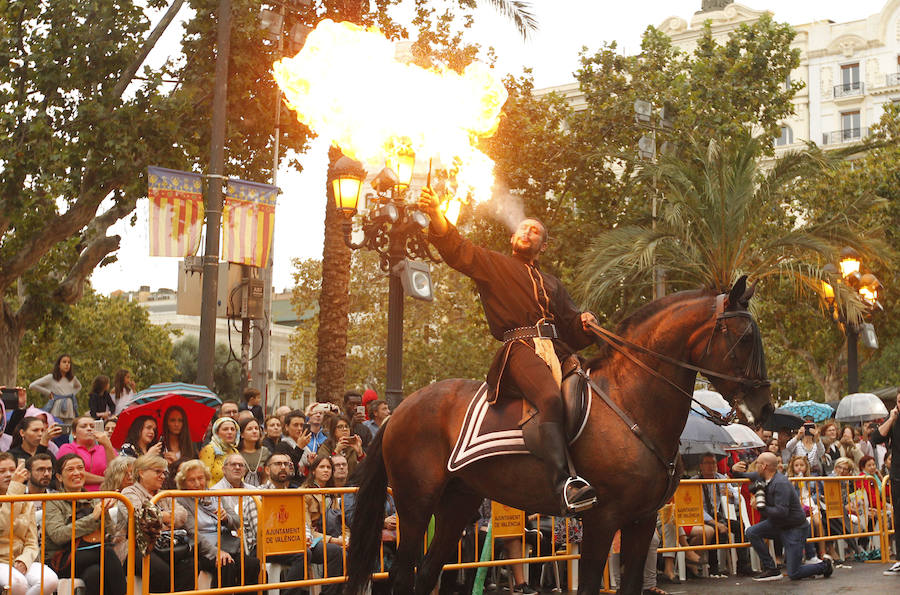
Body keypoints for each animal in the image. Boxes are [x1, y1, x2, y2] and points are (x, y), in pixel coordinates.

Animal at [344, 280, 772, 595]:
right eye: (745, 339)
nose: (764, 408)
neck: (630, 401)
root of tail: (402, 407)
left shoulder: (642, 520)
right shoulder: (603, 519)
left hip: (458, 502)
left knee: (428, 571)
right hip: (416, 503)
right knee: (403, 574)